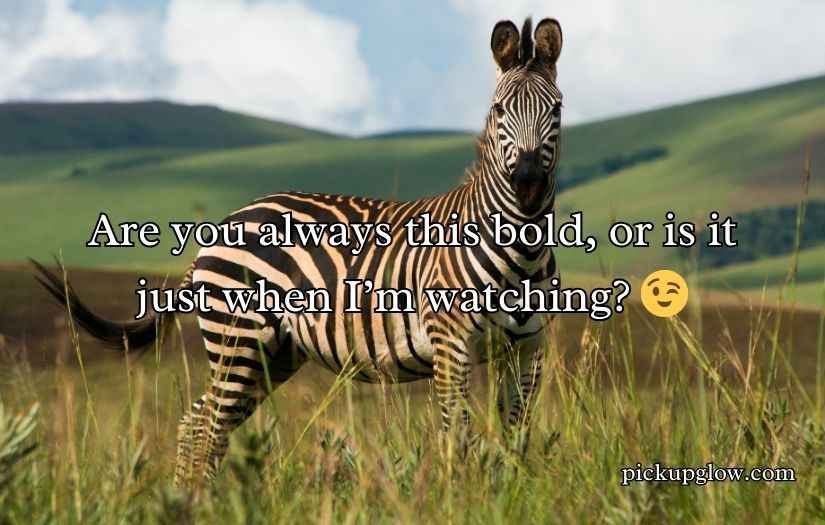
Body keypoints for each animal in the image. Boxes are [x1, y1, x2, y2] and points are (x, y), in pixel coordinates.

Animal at [33, 17, 563, 485]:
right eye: (499, 110)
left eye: (556, 110)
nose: (528, 184)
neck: (519, 250)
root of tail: (222, 226)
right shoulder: (451, 345)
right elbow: (457, 438)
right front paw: (458, 498)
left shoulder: (527, 351)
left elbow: (517, 439)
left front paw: (511, 495)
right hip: (239, 342)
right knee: (207, 427)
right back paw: (197, 501)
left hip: (273, 354)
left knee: (199, 423)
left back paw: (197, 498)